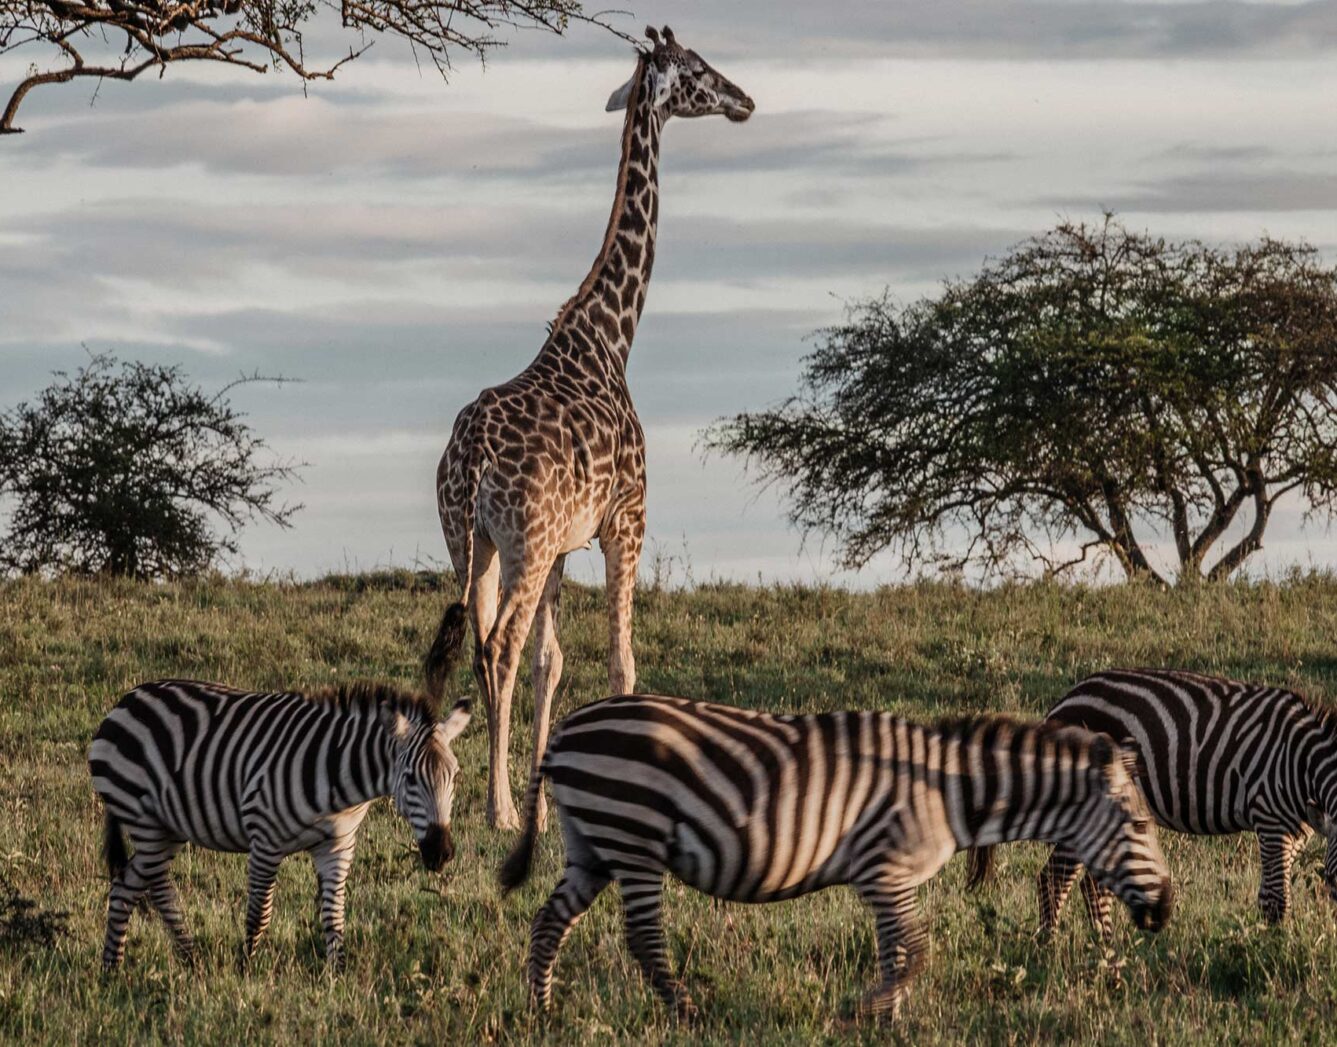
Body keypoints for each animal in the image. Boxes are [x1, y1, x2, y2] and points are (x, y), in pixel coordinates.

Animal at [86, 684, 473, 968]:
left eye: (454, 776)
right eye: (410, 779)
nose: (441, 853)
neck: (340, 778)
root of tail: (126, 700)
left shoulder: (338, 845)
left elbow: (334, 915)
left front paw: (337, 974)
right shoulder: (264, 840)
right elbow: (259, 913)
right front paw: (246, 969)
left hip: (168, 829)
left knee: (125, 886)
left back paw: (116, 968)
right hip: (145, 821)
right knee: (159, 889)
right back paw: (184, 958)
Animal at [425, 26, 754, 829]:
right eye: (698, 71)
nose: (745, 100)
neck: (610, 337)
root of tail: (471, 458)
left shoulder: (564, 548)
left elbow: (554, 664)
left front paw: (547, 809)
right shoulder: (624, 520)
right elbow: (619, 661)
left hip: (474, 540)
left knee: (471, 643)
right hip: (522, 541)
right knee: (498, 646)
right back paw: (496, 810)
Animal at [500, 689, 1171, 1021]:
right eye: (1140, 823)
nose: (1166, 911)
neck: (949, 789)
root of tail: (563, 730)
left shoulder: (888, 880)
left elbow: (897, 952)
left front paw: (888, 1020)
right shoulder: (884, 869)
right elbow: (915, 951)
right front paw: (865, 1010)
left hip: (593, 843)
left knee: (548, 922)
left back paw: (543, 1012)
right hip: (632, 838)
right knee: (642, 938)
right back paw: (688, 1014)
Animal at [973, 671, 1337, 941]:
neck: (1301, 761)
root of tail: (1061, 703)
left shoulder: (1298, 830)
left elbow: (1271, 897)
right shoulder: (1270, 820)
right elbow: (1275, 902)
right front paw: (1272, 950)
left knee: (1092, 885)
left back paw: (1104, 945)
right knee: (1055, 879)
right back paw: (1050, 946)